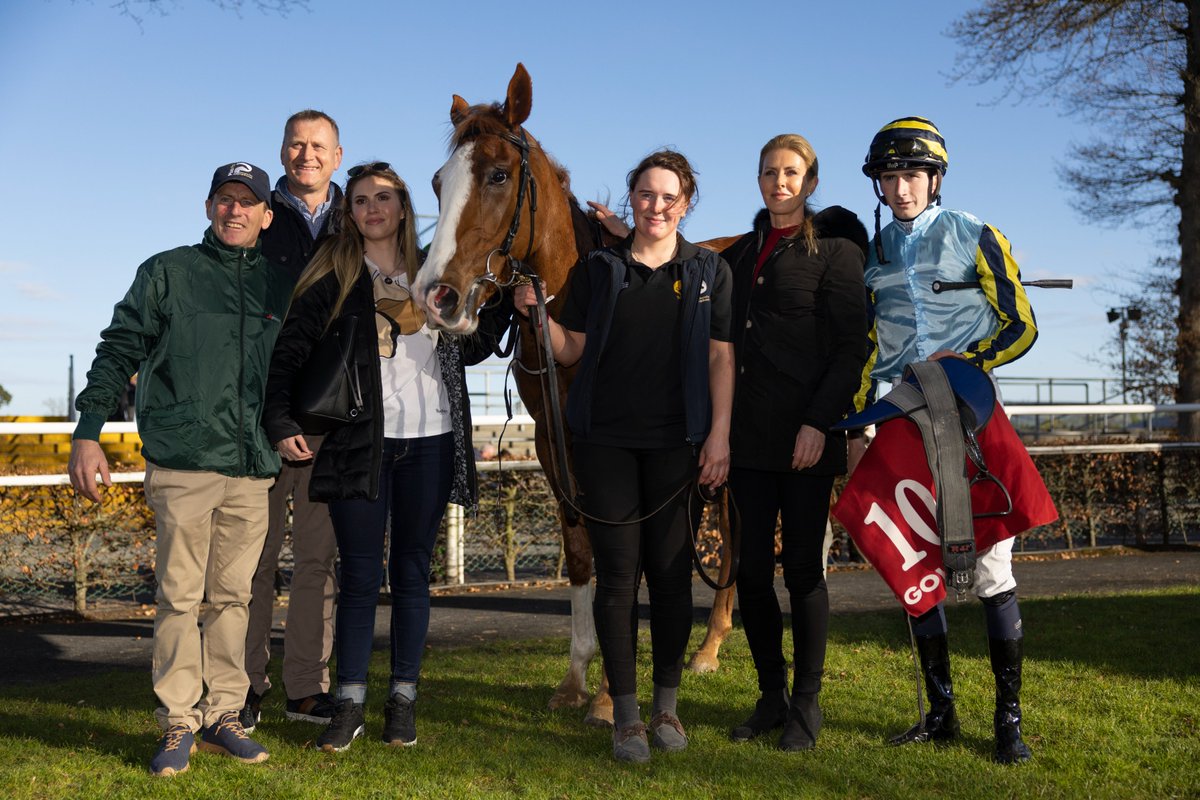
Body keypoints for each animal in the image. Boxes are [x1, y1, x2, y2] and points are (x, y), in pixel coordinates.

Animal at [412, 62, 729, 724]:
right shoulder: (557, 448)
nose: (436, 295)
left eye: (499, 174)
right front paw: (578, 677)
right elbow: (583, 552)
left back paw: (711, 648)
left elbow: (627, 555)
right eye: (436, 182)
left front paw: (611, 694)